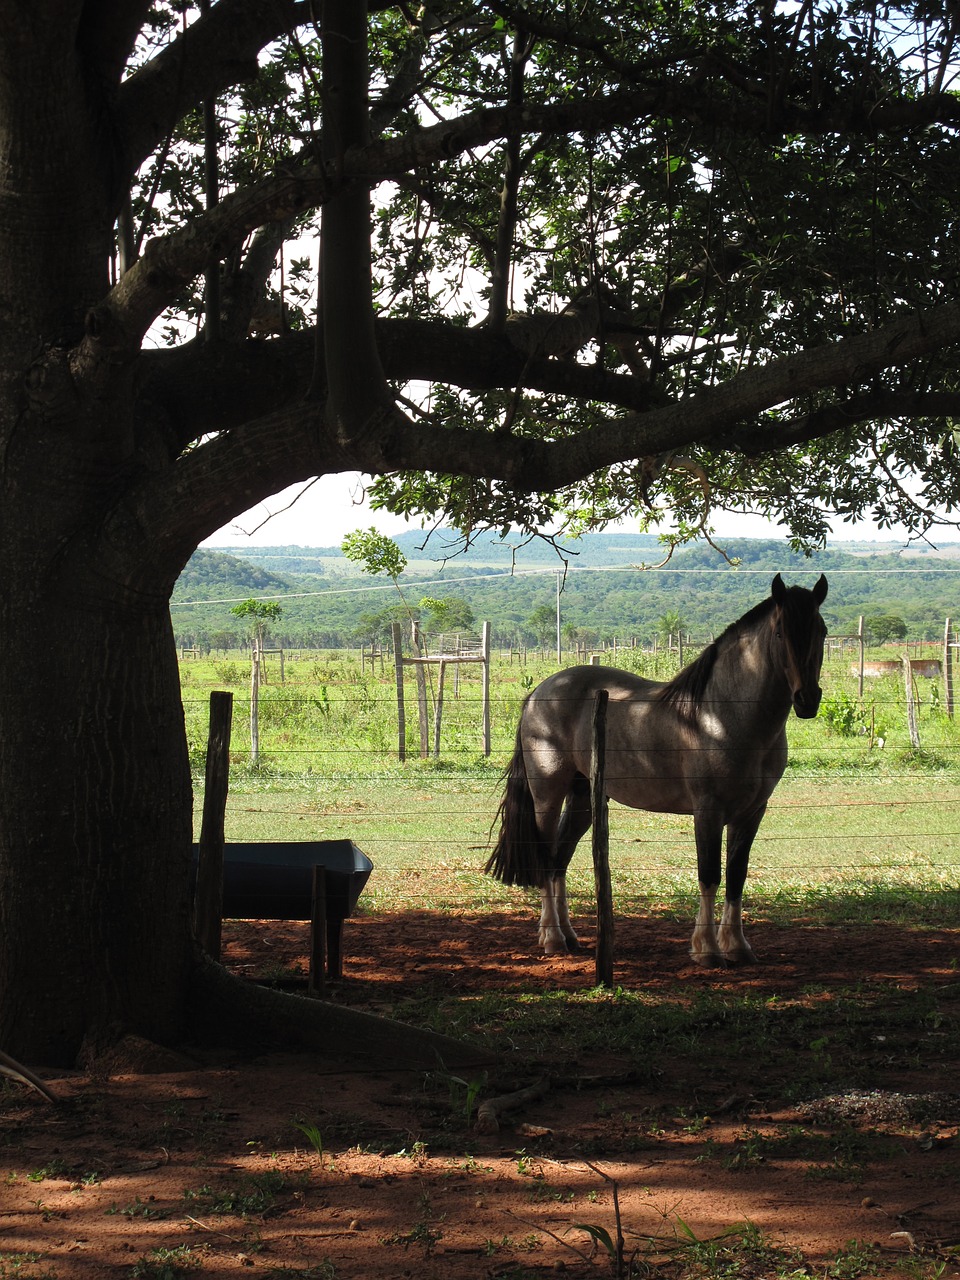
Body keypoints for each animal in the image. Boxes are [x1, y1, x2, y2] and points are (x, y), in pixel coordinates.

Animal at [483, 576, 829, 962]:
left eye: (822, 630)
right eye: (781, 632)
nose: (807, 700)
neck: (721, 715)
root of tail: (539, 692)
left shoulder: (752, 812)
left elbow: (736, 876)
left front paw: (737, 947)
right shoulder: (708, 811)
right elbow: (709, 874)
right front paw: (707, 950)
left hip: (583, 798)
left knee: (560, 859)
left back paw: (569, 937)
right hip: (548, 795)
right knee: (545, 859)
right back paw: (553, 939)